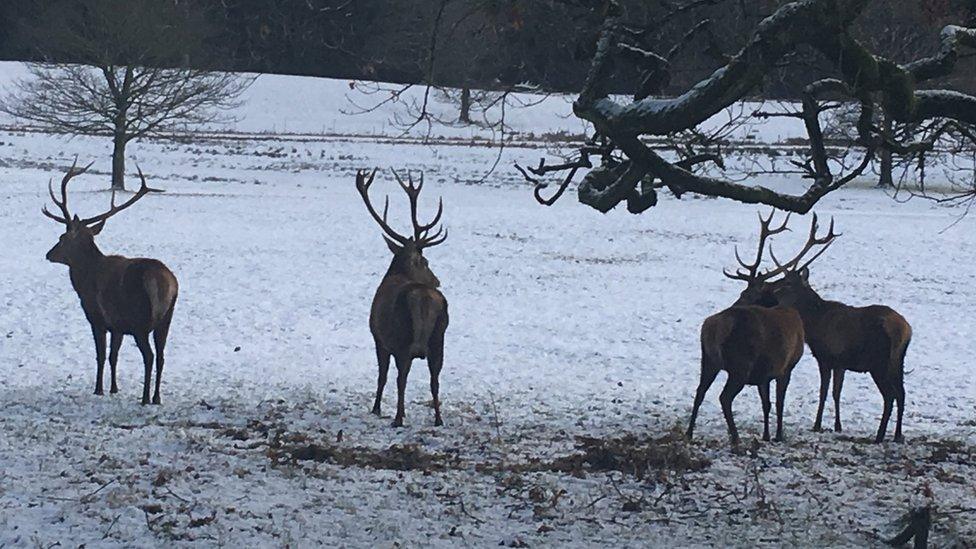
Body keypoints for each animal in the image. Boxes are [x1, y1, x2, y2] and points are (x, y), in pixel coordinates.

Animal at [43, 161, 177, 404]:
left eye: (62, 238)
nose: (49, 254)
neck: (84, 282)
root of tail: (167, 283)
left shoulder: (97, 318)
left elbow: (101, 355)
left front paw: (98, 389)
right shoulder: (118, 326)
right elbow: (114, 356)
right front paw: (114, 388)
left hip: (141, 321)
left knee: (150, 356)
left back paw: (145, 398)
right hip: (167, 318)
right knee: (162, 356)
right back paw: (157, 397)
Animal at [354, 169, 450, 426]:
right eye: (425, 262)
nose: (437, 280)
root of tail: (424, 297)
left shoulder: (378, 337)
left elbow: (382, 376)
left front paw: (376, 408)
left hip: (402, 339)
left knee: (401, 378)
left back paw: (398, 418)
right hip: (438, 339)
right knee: (435, 381)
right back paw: (438, 419)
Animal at [684, 211, 804, 446]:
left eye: (746, 293)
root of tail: (713, 327)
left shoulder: (765, 373)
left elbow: (766, 403)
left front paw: (766, 435)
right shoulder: (786, 366)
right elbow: (779, 402)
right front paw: (778, 435)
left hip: (708, 360)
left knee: (700, 391)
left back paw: (690, 433)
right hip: (740, 364)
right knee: (724, 397)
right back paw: (736, 438)